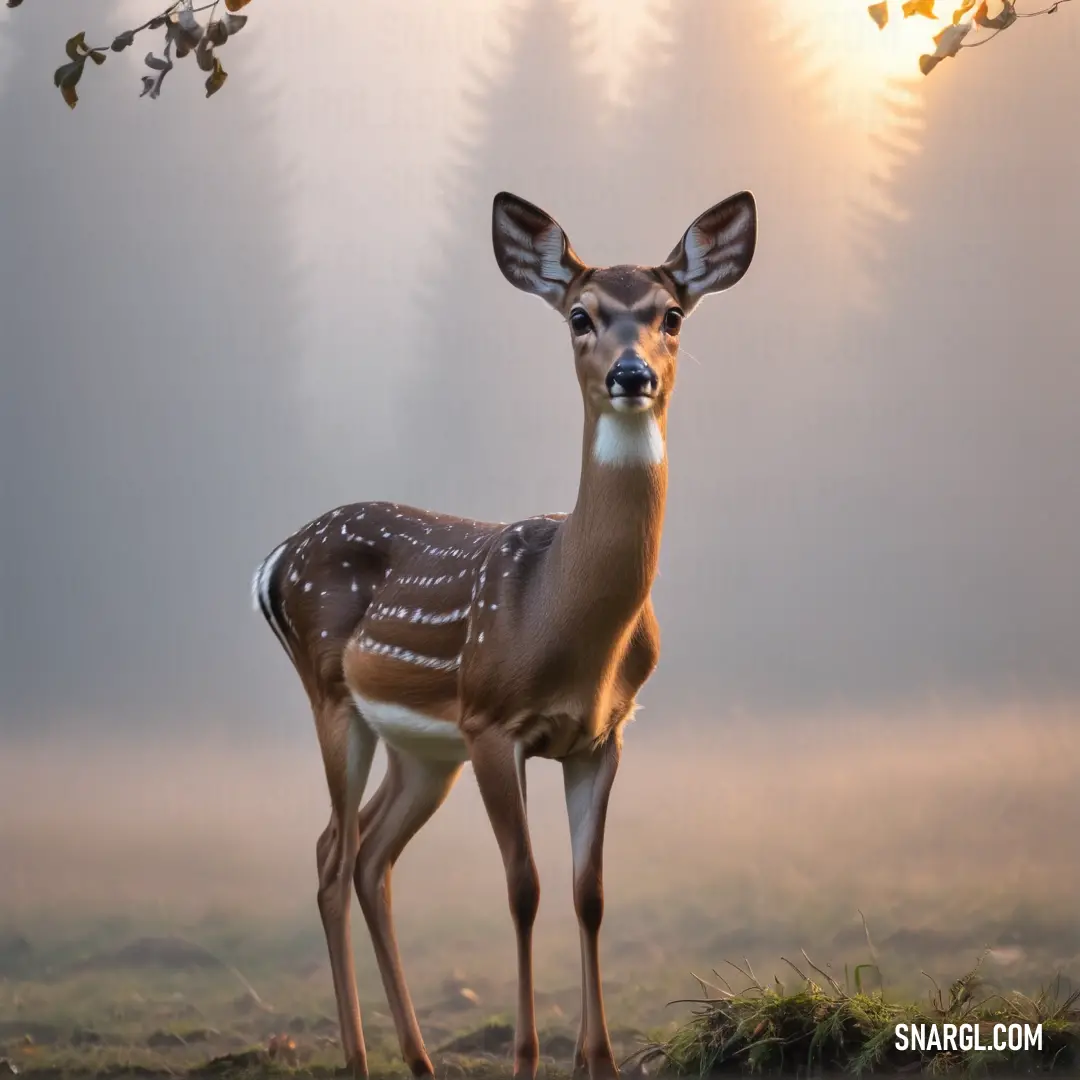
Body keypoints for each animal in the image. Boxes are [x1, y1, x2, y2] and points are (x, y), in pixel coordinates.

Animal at [252, 190, 760, 1075]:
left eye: (671, 315)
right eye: (581, 316)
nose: (633, 374)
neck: (566, 617)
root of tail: (277, 557)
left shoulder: (603, 735)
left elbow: (589, 892)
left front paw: (602, 1060)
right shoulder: (493, 721)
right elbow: (522, 886)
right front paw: (526, 1057)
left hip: (424, 751)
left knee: (371, 855)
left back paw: (419, 1058)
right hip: (333, 697)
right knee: (332, 854)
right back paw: (358, 1057)